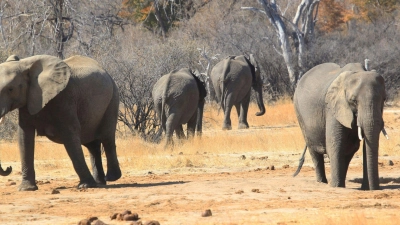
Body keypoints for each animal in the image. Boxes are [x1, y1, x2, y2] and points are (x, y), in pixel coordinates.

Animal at [0, 54, 122, 190]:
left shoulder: (64, 98)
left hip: (113, 97)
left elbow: (70, 135)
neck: (24, 63)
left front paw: (85, 185)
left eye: (10, 89)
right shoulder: (28, 100)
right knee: (92, 144)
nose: (9, 168)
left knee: (107, 137)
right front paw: (26, 189)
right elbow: (24, 137)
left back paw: (111, 178)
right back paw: (99, 182)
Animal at [292, 62, 386, 190]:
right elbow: (335, 144)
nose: (375, 188)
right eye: (353, 101)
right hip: (299, 112)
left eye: (384, 99)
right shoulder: (333, 108)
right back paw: (322, 182)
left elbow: (360, 146)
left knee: (348, 149)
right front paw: (336, 186)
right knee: (314, 150)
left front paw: (365, 188)